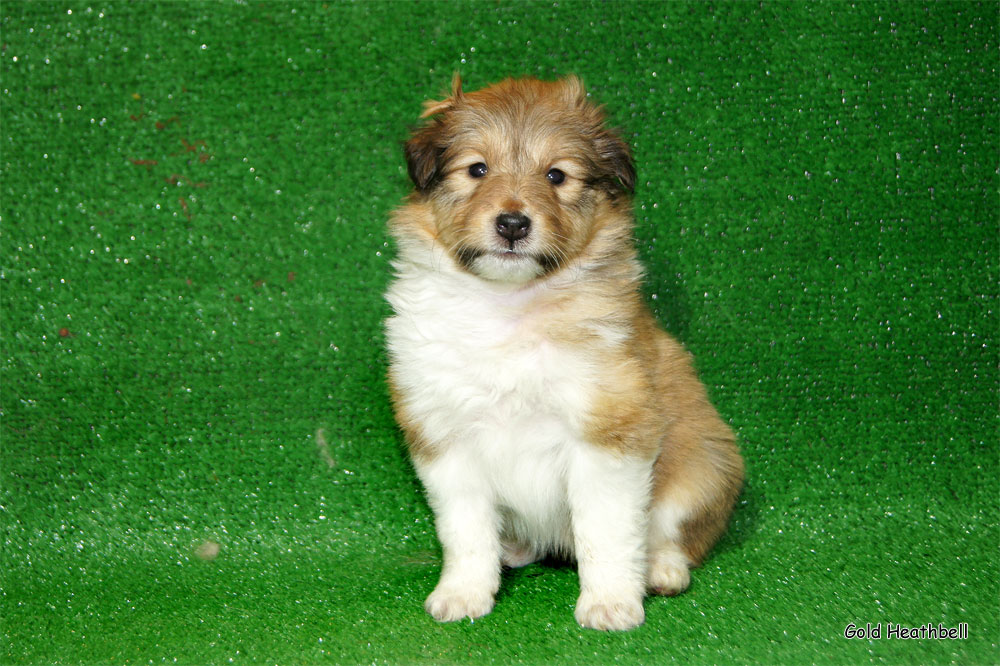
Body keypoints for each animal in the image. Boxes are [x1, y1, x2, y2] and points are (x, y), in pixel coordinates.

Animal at [382, 74, 744, 628]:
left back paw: (660, 570)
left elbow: (606, 530)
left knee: (672, 535)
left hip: (703, 464)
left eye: (556, 175)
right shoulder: (444, 435)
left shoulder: (609, 432)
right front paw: (464, 594)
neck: (507, 306)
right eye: (477, 169)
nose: (513, 223)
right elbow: (465, 531)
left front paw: (610, 603)